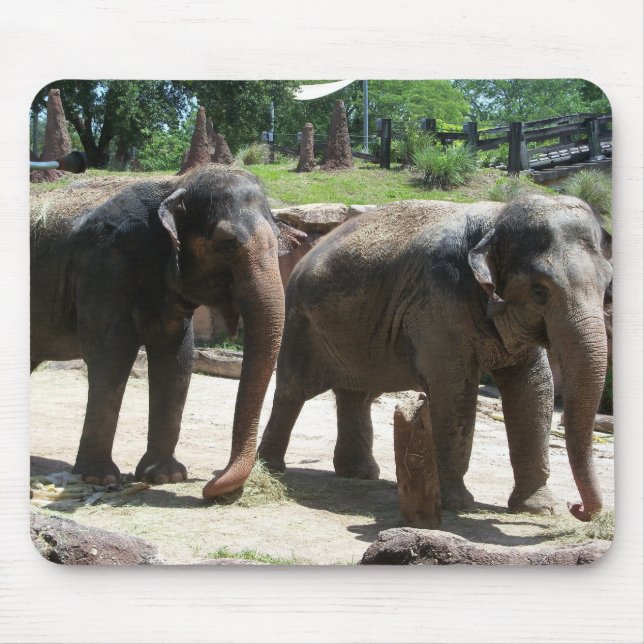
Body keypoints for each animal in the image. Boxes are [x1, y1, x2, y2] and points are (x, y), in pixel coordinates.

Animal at [31, 164, 305, 500]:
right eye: (226, 244)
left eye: (277, 242)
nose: (211, 485)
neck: (174, 186)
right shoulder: (104, 267)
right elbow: (111, 356)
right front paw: (98, 478)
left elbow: (177, 359)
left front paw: (165, 476)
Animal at [258, 194, 612, 521]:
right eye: (540, 291)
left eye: (606, 285)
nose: (577, 508)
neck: (497, 218)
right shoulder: (438, 299)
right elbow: (454, 389)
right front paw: (458, 504)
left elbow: (533, 388)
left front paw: (538, 510)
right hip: (302, 323)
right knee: (294, 390)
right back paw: (271, 466)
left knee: (356, 393)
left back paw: (359, 474)